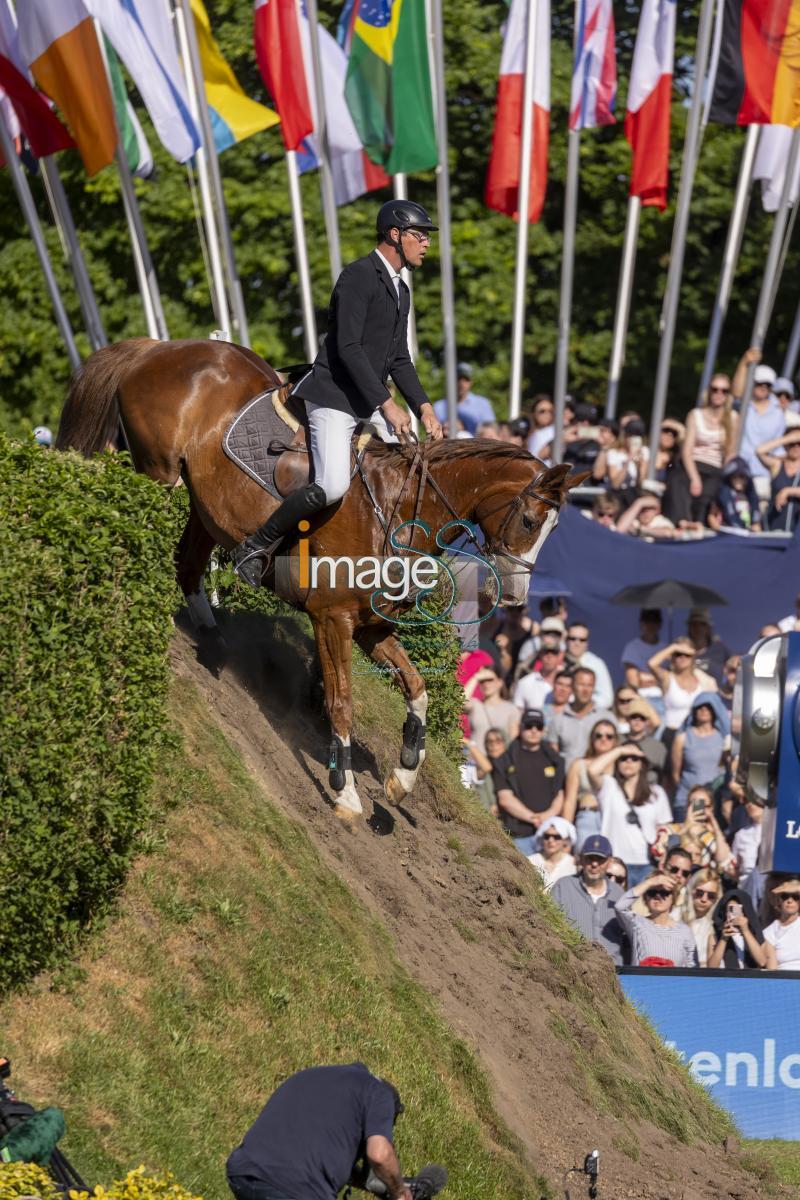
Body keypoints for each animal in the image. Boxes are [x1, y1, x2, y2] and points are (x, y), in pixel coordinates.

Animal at [56, 343, 582, 820]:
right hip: (157, 474)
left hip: (205, 506)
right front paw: (344, 791)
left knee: (187, 565)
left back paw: (212, 639)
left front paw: (404, 773)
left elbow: (418, 689)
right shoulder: (333, 620)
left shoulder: (372, 627)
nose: (513, 597)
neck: (396, 511)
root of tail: (159, 348)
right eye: (531, 521)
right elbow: (341, 702)